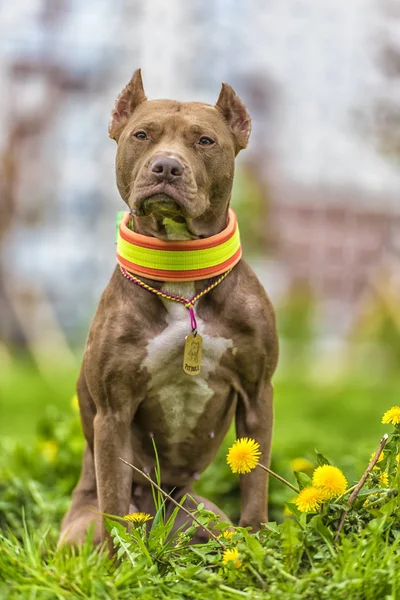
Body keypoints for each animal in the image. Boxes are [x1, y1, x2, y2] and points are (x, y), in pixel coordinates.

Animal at [60, 68, 278, 548]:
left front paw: (257, 546)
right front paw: (120, 561)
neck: (182, 274)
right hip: (79, 526)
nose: (166, 166)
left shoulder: (258, 394)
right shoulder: (113, 413)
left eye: (205, 141)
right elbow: (114, 508)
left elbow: (255, 486)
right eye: (142, 135)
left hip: (201, 512)